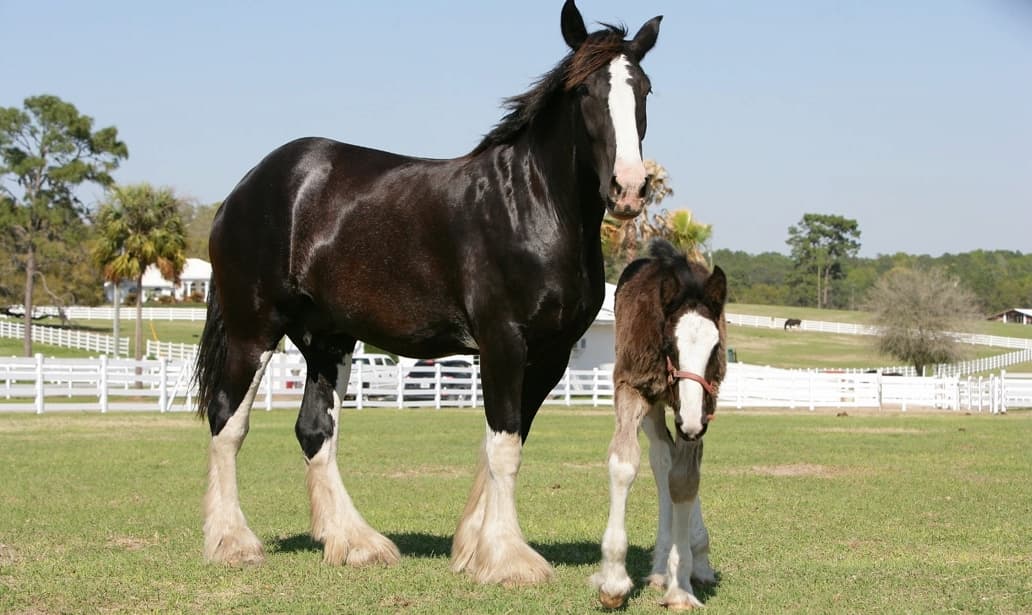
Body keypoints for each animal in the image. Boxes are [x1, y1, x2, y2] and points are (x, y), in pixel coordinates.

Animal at [194, 0, 663, 587]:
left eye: (644, 89)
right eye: (584, 92)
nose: (629, 188)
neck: (530, 207)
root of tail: (249, 186)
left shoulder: (550, 355)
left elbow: (504, 442)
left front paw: (474, 548)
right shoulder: (503, 342)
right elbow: (504, 448)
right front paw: (508, 559)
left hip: (327, 340)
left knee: (315, 430)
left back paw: (355, 543)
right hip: (252, 328)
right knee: (227, 421)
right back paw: (233, 542)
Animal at [591, 239, 727, 609]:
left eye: (716, 347)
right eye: (670, 345)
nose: (691, 422)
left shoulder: (702, 408)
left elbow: (684, 480)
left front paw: (680, 586)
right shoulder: (632, 388)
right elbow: (624, 466)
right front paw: (613, 582)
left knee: (672, 464)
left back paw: (694, 559)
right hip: (655, 408)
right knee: (661, 456)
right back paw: (660, 565)